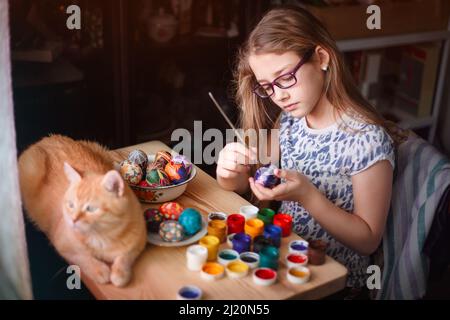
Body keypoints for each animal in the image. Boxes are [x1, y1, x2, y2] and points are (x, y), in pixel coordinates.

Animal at [18, 135, 146, 288]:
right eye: (71, 205)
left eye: (91, 208)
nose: (73, 220)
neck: (102, 237)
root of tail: (45, 139)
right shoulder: (62, 244)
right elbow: (83, 257)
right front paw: (100, 270)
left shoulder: (139, 240)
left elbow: (125, 256)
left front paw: (120, 273)